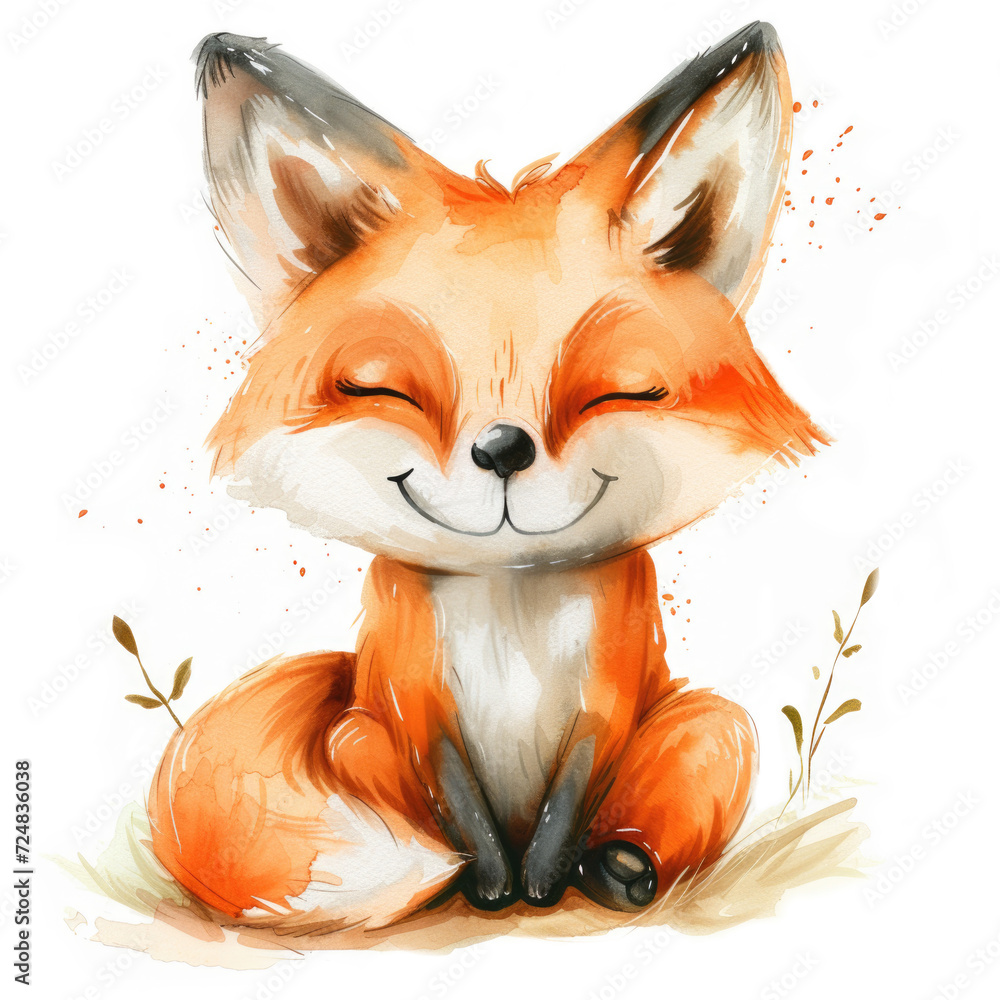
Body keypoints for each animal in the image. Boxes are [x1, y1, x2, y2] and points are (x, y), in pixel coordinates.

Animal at [147, 22, 828, 932]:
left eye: (621, 390)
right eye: (383, 387)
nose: (504, 448)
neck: (512, 596)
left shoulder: (609, 690)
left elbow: (573, 791)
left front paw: (541, 880)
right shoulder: (414, 697)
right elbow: (459, 801)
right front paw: (493, 881)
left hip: (713, 722)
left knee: (691, 760)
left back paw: (620, 867)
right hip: (358, 733)